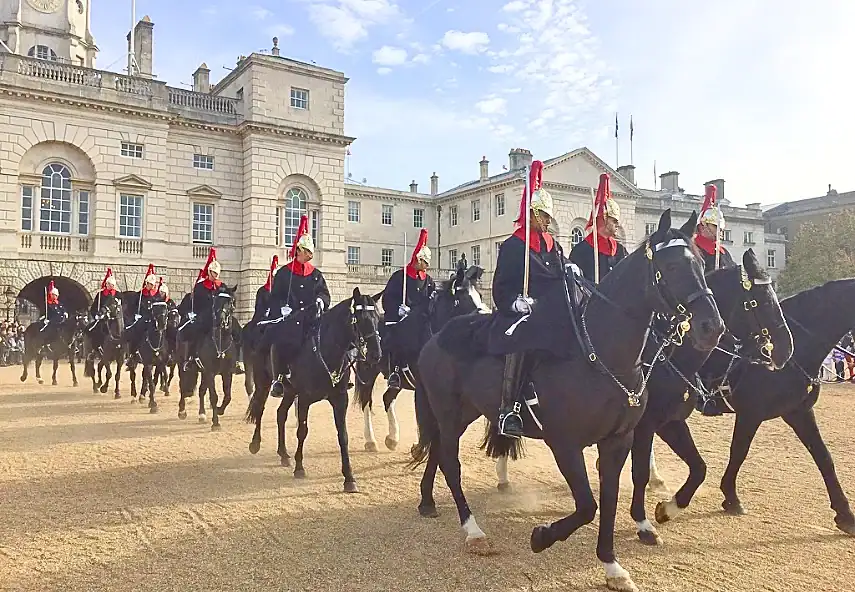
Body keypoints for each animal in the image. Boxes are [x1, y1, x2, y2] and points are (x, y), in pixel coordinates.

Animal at [246, 290, 382, 492]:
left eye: (378, 318)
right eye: (361, 318)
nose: (376, 355)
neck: (326, 351)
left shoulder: (340, 399)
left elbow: (343, 436)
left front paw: (349, 478)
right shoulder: (304, 399)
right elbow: (302, 431)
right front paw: (299, 468)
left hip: (289, 391)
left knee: (280, 414)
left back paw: (283, 454)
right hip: (264, 382)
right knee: (260, 408)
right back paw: (255, 444)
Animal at [354, 264, 488, 454]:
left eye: (480, 296)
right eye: (463, 297)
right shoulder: (423, 387)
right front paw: (421, 448)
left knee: (387, 398)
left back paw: (392, 438)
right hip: (368, 372)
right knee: (366, 401)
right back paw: (371, 440)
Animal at [408, 212, 724, 592]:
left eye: (703, 264)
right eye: (672, 265)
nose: (712, 327)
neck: (602, 353)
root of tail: (436, 337)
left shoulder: (620, 440)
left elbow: (610, 497)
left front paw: (612, 564)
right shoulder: (566, 444)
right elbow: (588, 505)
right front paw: (542, 536)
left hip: (462, 414)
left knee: (439, 453)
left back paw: (430, 503)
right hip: (449, 413)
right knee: (451, 465)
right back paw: (473, 531)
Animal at [648, 278, 855, 536]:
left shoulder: (798, 412)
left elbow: (824, 457)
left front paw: (845, 514)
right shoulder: (751, 413)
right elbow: (739, 452)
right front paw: (730, 497)